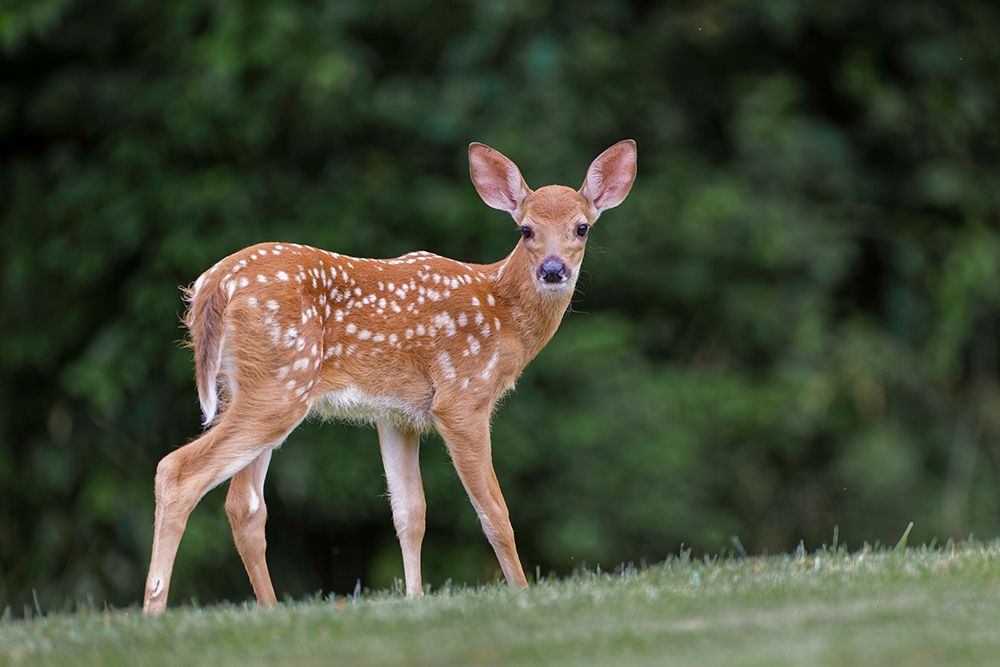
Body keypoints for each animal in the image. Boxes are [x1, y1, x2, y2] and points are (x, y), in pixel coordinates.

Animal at [142, 140, 637, 614]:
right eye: (526, 229)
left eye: (582, 227)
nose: (553, 270)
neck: (504, 312)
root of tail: (211, 287)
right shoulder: (462, 397)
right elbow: (494, 513)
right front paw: (521, 593)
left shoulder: (396, 414)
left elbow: (410, 512)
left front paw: (414, 599)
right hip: (279, 384)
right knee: (177, 472)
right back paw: (154, 610)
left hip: (245, 388)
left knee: (244, 504)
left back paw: (268, 608)